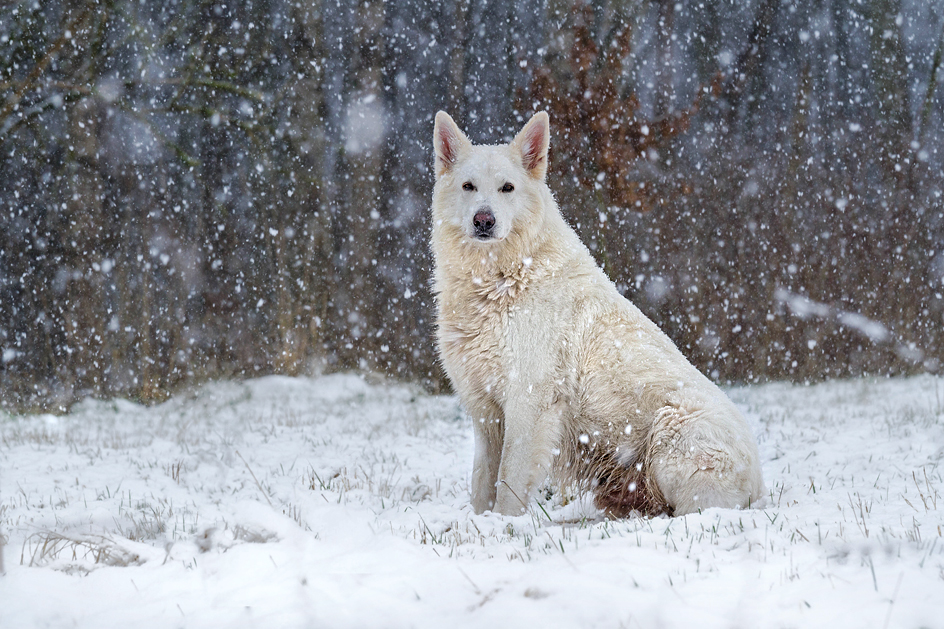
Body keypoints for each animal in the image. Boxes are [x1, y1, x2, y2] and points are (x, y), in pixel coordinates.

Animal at [432, 111, 764, 516]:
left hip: (670, 433)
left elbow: (509, 481)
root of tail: (760, 485)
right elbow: (482, 482)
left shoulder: (530, 403)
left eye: (507, 188)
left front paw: (504, 523)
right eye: (468, 186)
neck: (500, 279)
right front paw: (480, 522)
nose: (484, 221)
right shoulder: (485, 410)